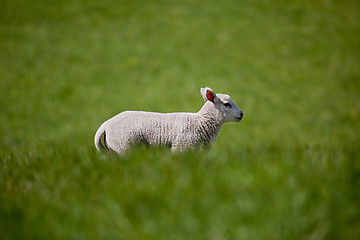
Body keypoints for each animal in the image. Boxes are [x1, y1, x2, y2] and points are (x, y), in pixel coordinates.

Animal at [94, 86, 243, 156]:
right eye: (227, 104)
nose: (241, 114)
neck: (199, 123)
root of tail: (106, 124)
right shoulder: (180, 148)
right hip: (125, 146)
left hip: (113, 150)